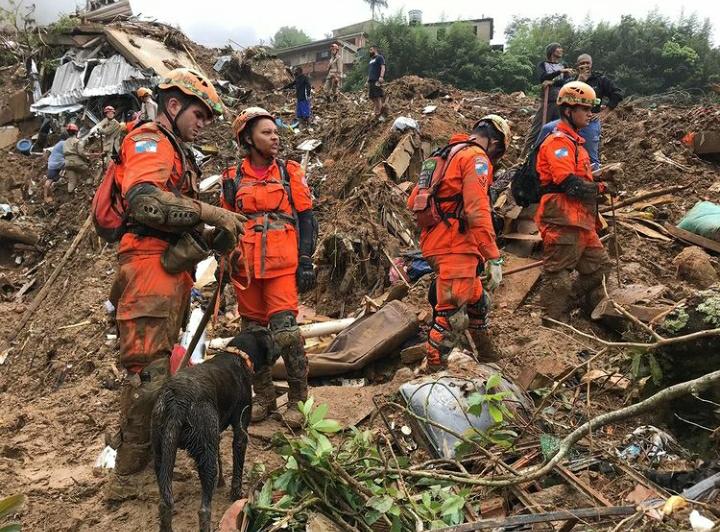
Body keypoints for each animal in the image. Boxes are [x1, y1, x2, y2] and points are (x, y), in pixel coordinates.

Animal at [151, 329, 272, 532]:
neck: (237, 355)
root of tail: (177, 401)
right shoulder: (240, 429)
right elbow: (237, 466)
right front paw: (236, 494)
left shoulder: (214, 434)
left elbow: (220, 456)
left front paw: (221, 482)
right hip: (204, 456)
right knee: (204, 510)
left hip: (162, 454)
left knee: (165, 503)